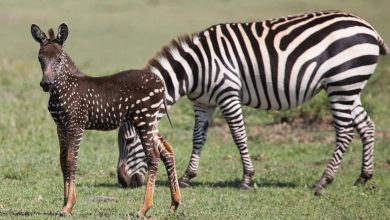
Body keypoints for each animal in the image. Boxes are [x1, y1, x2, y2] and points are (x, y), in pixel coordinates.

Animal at [117, 10, 388, 196]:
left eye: (129, 141)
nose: (123, 181)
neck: (193, 69)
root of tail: (369, 27)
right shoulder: (203, 103)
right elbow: (198, 138)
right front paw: (187, 177)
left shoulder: (228, 94)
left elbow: (239, 136)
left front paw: (246, 179)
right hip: (349, 86)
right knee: (366, 126)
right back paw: (363, 177)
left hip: (342, 83)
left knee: (344, 132)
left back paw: (323, 181)